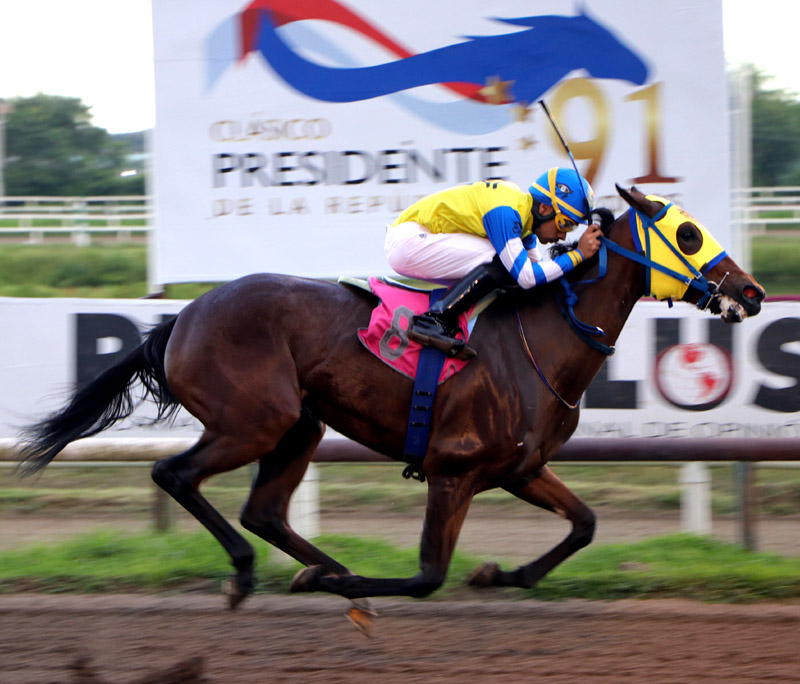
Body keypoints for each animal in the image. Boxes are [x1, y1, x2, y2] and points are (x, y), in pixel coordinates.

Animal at [17, 184, 764, 632]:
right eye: (688, 234)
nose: (752, 292)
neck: (542, 339)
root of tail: (183, 317)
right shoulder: (453, 470)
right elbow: (429, 575)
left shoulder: (521, 468)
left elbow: (584, 524)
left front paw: (502, 573)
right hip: (252, 421)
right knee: (174, 475)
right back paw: (260, 574)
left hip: (300, 424)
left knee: (264, 510)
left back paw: (327, 570)